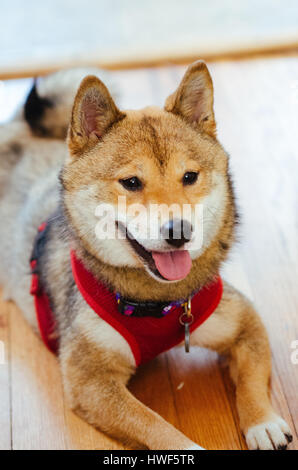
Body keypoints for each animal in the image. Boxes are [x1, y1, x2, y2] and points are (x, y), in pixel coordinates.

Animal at [0, 60, 294, 450]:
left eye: (190, 176)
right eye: (131, 183)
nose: (179, 231)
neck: (155, 300)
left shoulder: (244, 321)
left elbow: (251, 380)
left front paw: (263, 421)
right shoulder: (90, 381)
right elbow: (155, 424)